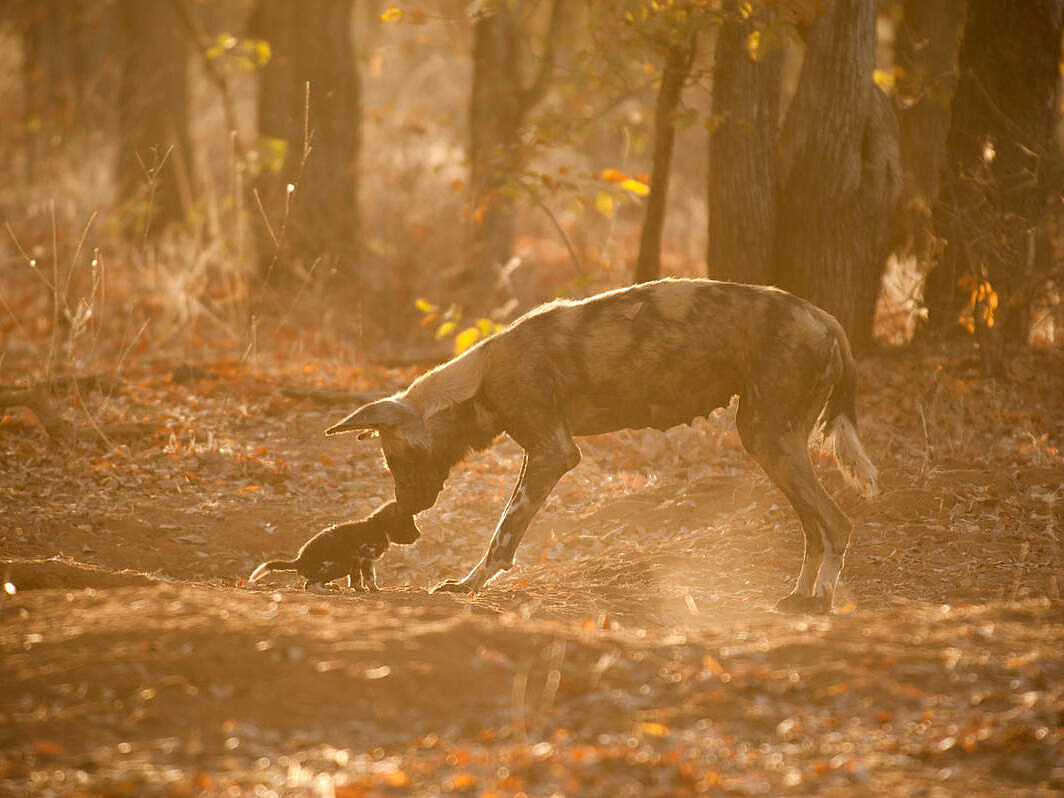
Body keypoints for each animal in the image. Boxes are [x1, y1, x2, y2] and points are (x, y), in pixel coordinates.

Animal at [246, 502, 417, 591]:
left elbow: (365, 577)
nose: (419, 534)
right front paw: (364, 589)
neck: (380, 527)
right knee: (309, 584)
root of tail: (299, 560)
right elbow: (361, 578)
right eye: (409, 525)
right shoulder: (359, 559)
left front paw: (369, 589)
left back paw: (331, 586)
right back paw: (326, 588)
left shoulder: (364, 561)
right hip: (338, 567)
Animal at [325, 278, 880, 617]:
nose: (408, 506)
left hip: (770, 440)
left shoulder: (552, 454)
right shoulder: (541, 453)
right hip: (771, 444)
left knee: (837, 523)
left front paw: (467, 587)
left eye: (398, 459)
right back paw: (800, 595)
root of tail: (823, 316)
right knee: (816, 527)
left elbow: (503, 534)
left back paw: (820, 601)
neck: (479, 379)